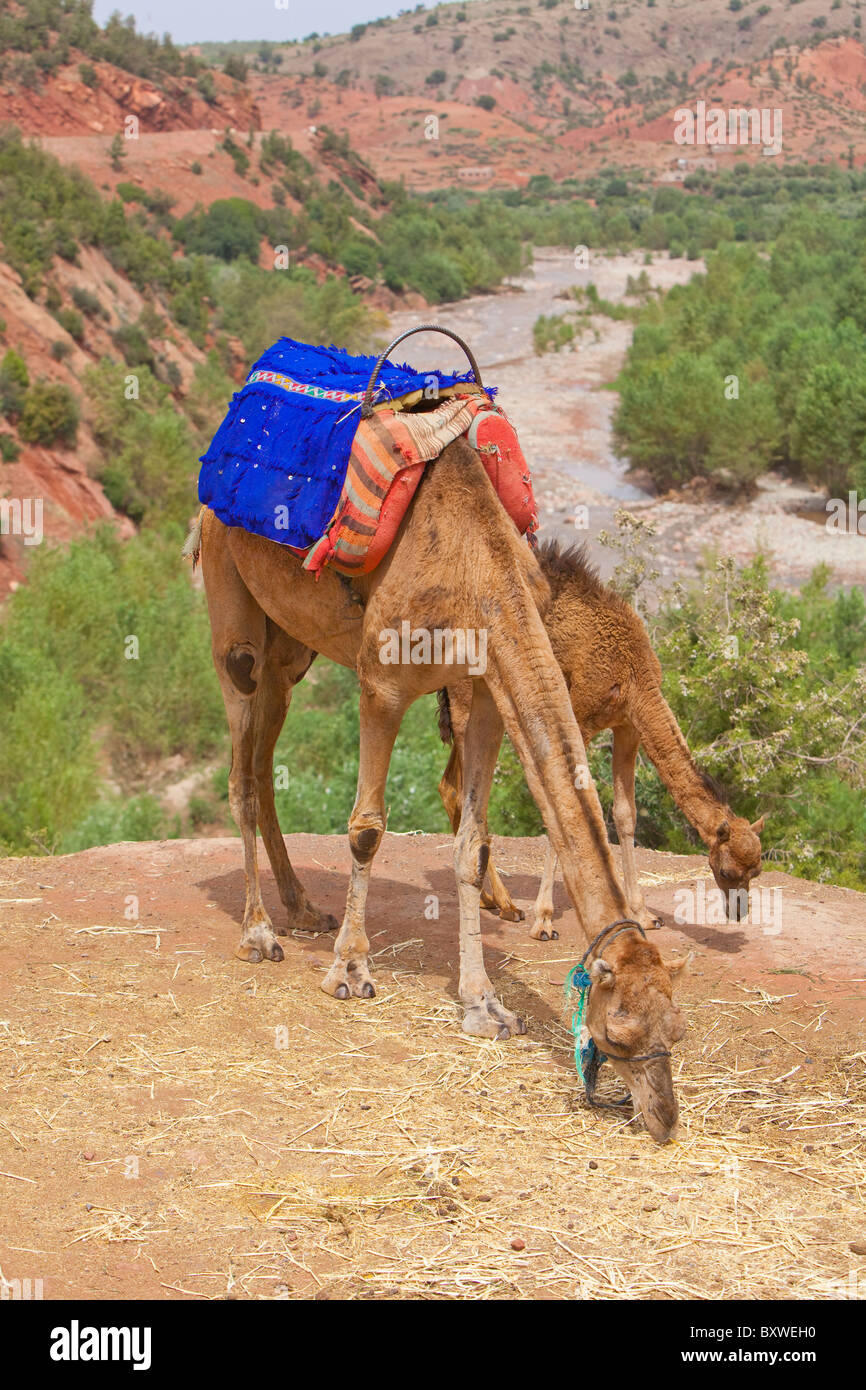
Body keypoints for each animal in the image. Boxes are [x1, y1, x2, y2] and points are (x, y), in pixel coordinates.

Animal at [439, 536, 767, 939]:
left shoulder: (628, 726)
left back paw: (491, 900)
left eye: (756, 870)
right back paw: (508, 904)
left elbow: (625, 814)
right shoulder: (577, 718)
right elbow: (567, 803)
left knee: (451, 787)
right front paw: (544, 921)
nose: (739, 911)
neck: (633, 672)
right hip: (466, 696)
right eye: (726, 870)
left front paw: (643, 914)